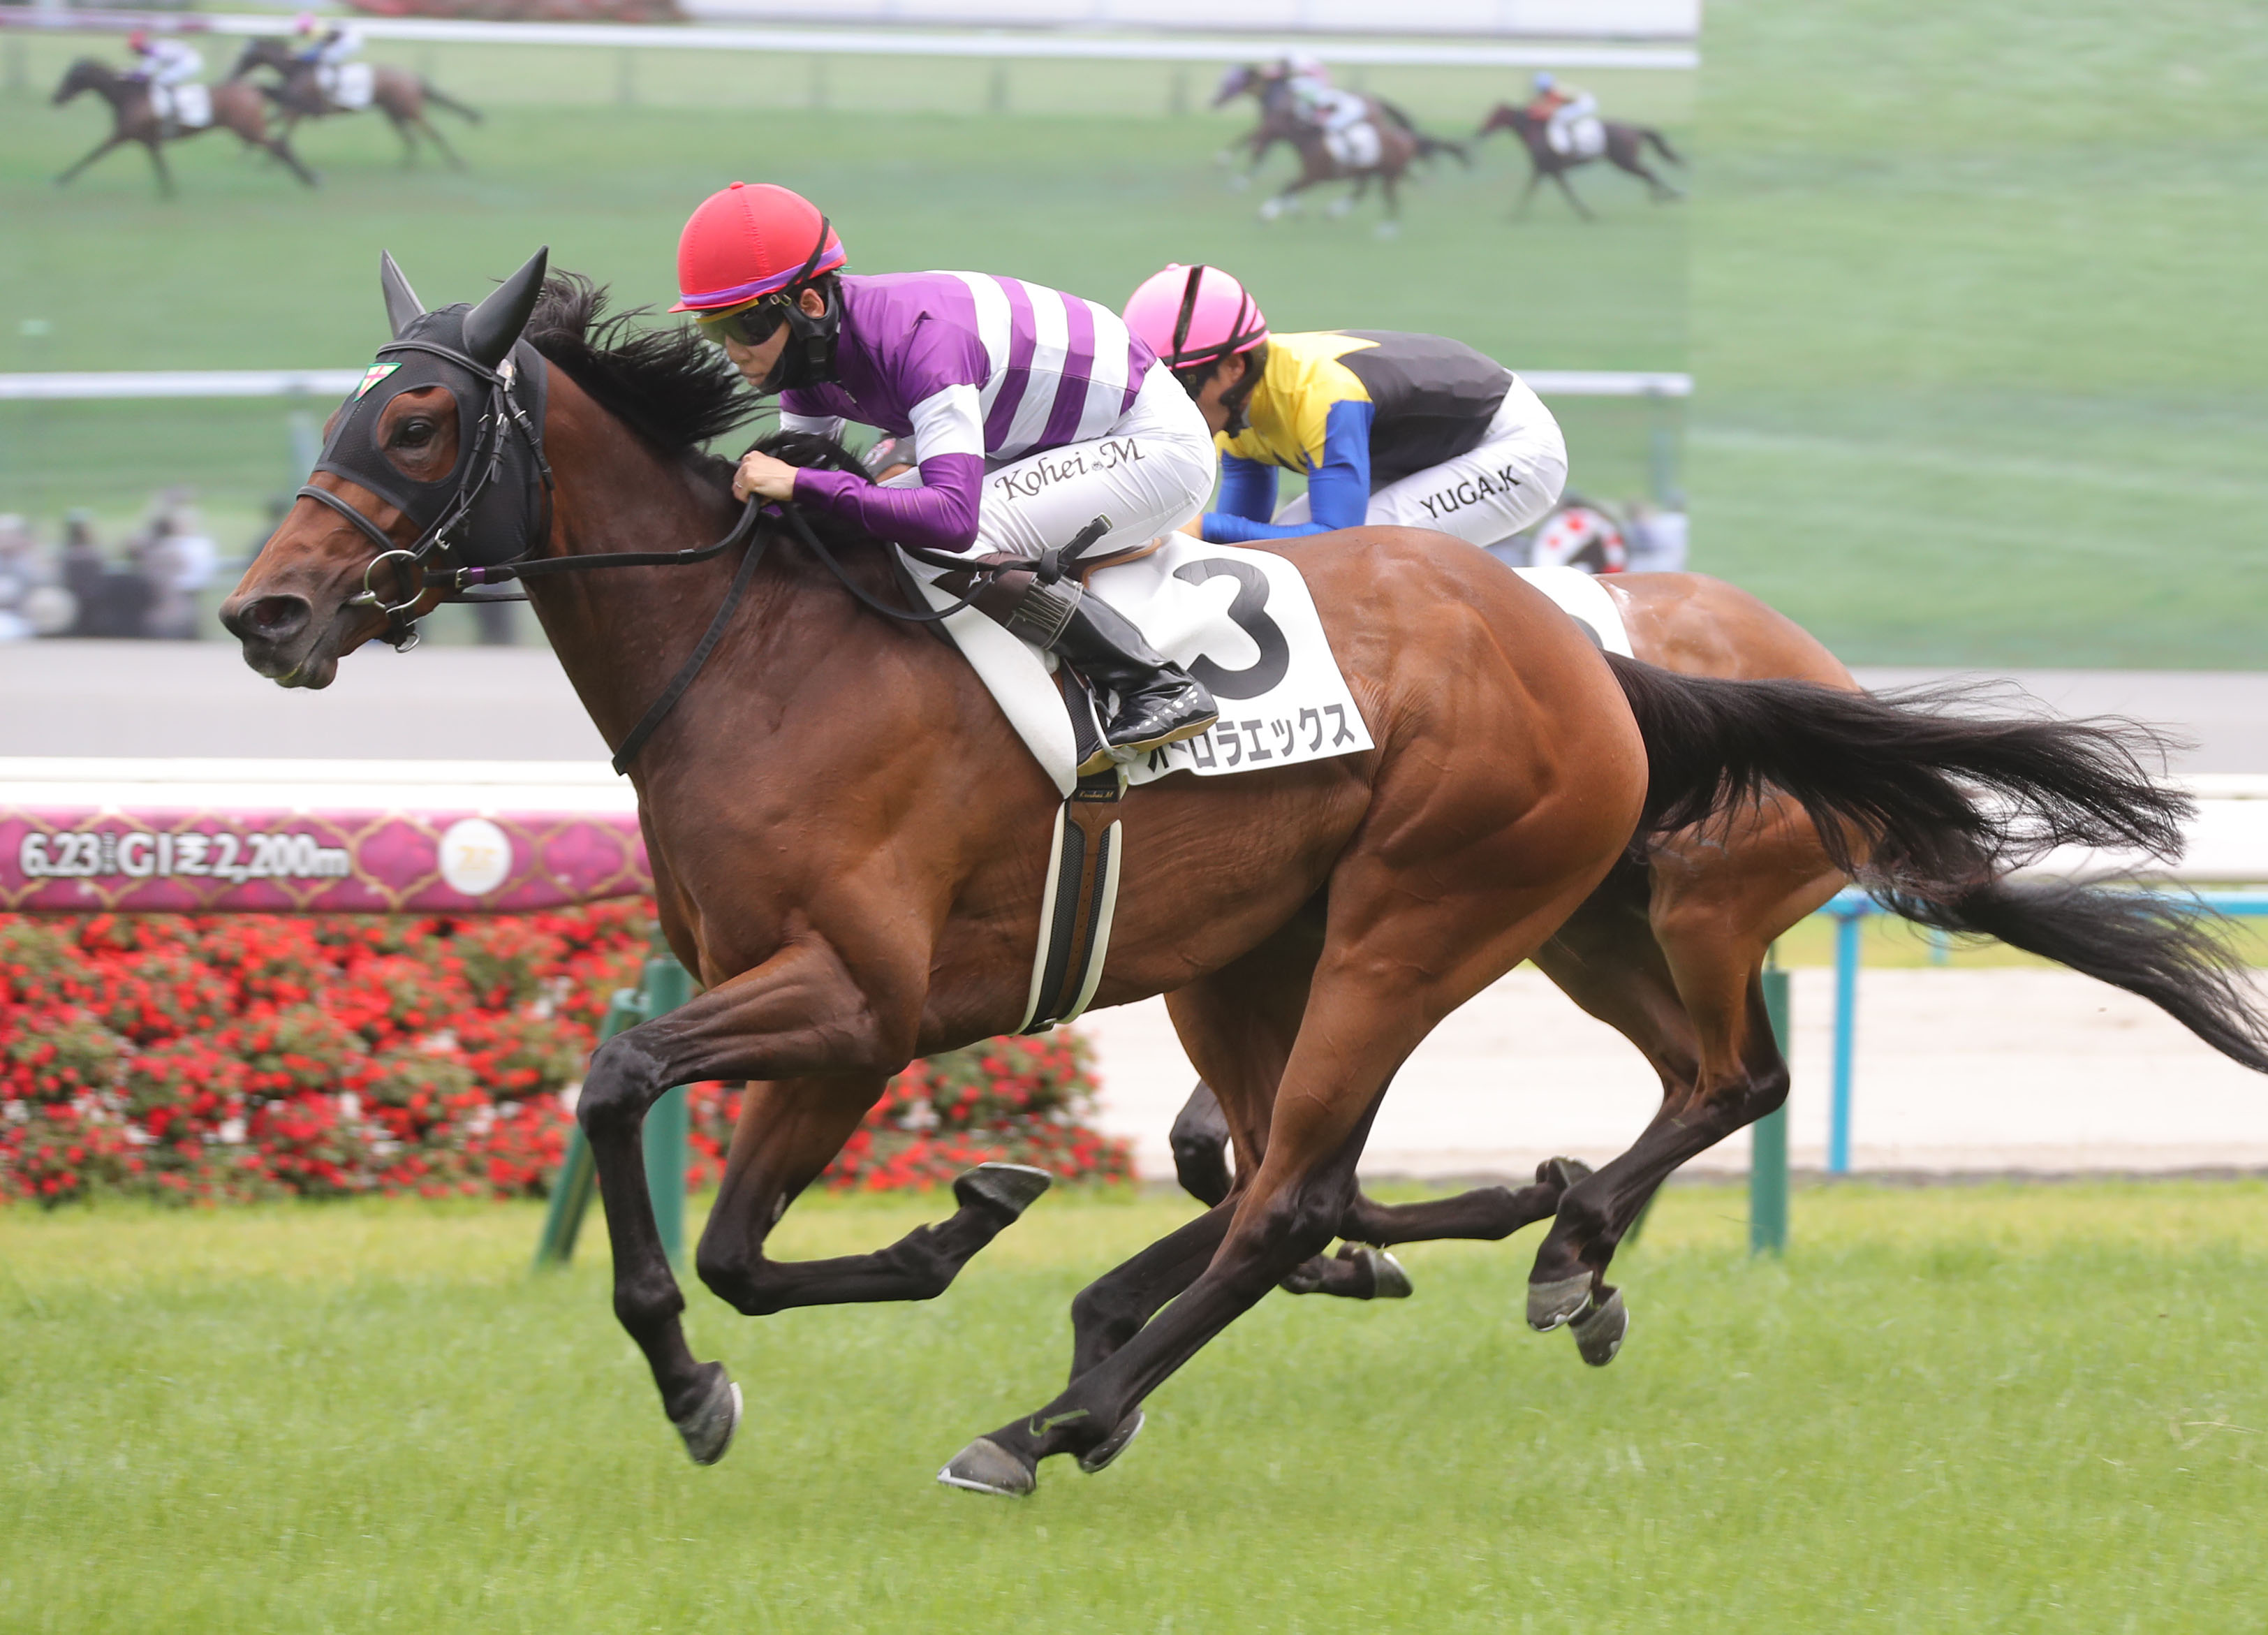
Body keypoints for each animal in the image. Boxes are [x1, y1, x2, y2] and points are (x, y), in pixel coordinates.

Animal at [51, 57, 318, 196]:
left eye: (73, 77)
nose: (56, 98)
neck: (130, 95)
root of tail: (253, 88)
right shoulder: (149, 141)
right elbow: (160, 165)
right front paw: (169, 191)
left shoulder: (121, 135)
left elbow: (92, 155)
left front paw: (61, 179)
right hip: (248, 130)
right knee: (279, 145)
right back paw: (309, 178)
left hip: (247, 130)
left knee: (278, 146)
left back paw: (312, 180)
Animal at [228, 38, 480, 168]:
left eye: (244, 57)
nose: (232, 75)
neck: (298, 69)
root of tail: (412, 77)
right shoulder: (295, 109)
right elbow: (276, 126)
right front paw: (256, 153)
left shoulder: (295, 109)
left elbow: (278, 127)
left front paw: (260, 156)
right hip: (393, 113)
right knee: (411, 138)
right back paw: (406, 165)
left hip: (408, 109)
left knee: (432, 132)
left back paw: (457, 163)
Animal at [1163, 570, 2268, 1360]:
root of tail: (1831, 681)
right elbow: (1232, 1147)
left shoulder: (1353, 941)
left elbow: (1280, 1149)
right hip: (1594, 934)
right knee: (1692, 1077)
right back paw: (1583, 1253)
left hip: (1700, 899)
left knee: (1740, 1079)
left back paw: (1572, 1245)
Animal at [1476, 100, 1685, 220]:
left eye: (1494, 115)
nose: (1480, 131)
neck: (1537, 132)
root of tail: (1634, 129)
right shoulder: (1549, 170)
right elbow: (1554, 191)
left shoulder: (1547, 169)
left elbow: (1546, 191)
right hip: (1625, 161)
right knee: (1648, 173)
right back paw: (1668, 196)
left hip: (1624, 161)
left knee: (1648, 172)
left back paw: (1664, 196)